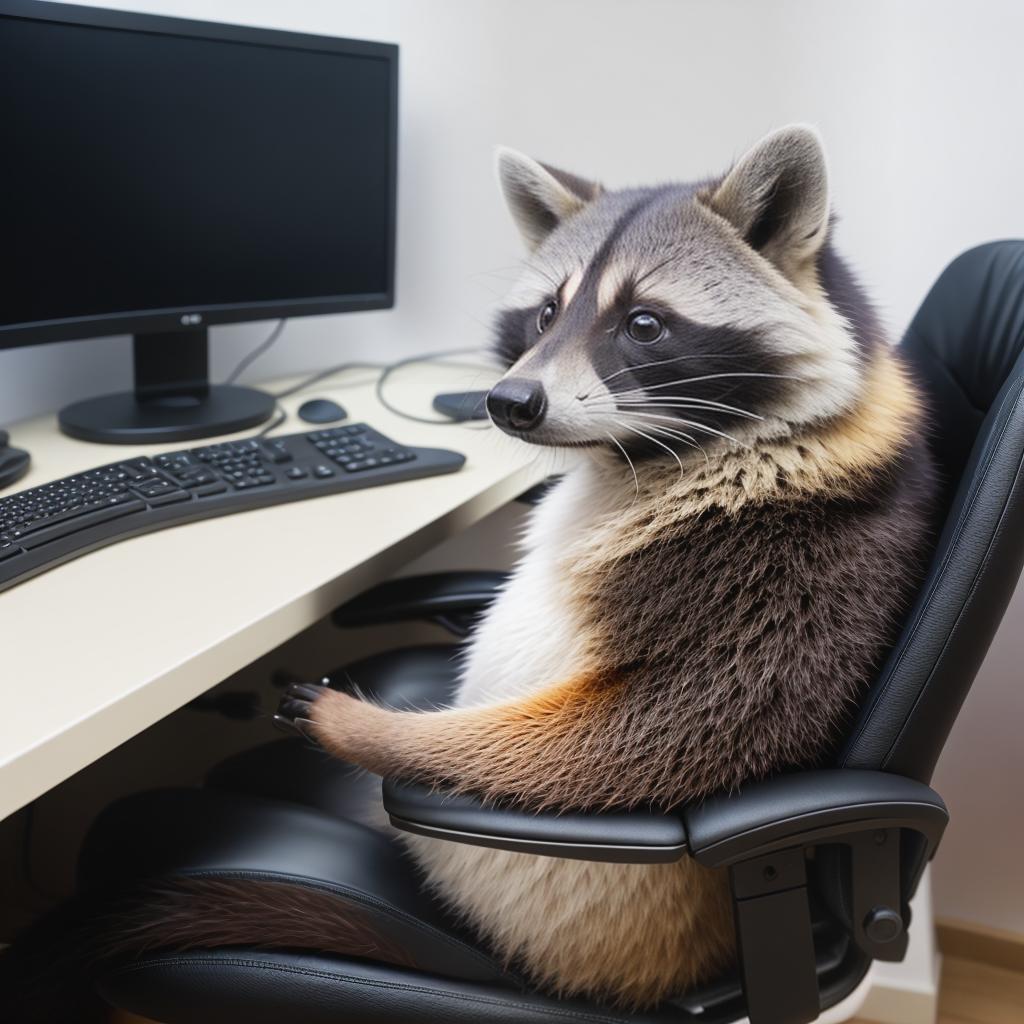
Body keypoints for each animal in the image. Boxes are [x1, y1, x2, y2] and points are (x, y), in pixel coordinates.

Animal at [278, 123, 937, 1003]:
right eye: (546, 312)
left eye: (645, 324)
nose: (507, 403)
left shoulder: (790, 571)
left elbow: (658, 740)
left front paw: (367, 728)